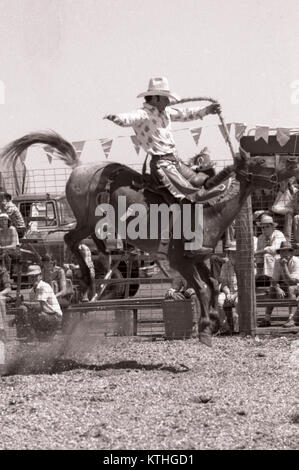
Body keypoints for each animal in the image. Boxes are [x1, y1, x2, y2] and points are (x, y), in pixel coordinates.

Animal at [1, 130, 298, 346]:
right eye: (260, 161)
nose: (292, 162)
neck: (207, 210)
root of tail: (80, 167)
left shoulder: (198, 258)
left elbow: (213, 284)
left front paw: (213, 318)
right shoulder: (179, 261)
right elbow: (202, 288)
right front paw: (204, 329)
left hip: (89, 222)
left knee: (78, 241)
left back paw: (99, 264)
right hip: (87, 220)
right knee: (71, 239)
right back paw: (90, 275)